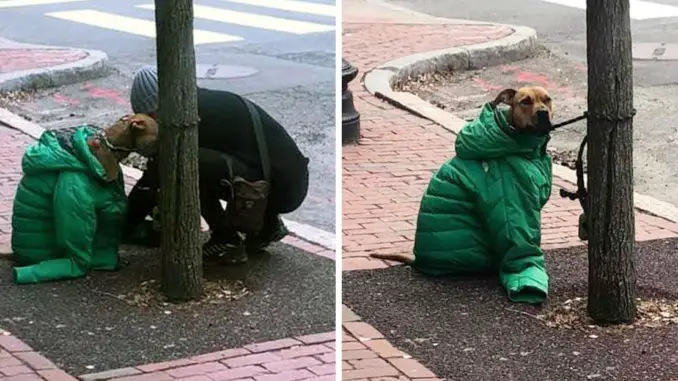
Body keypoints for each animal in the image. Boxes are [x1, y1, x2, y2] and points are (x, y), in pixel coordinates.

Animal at [374, 85, 556, 302]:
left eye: (547, 99)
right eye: (525, 101)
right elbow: (520, 240)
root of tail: (419, 260)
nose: (543, 113)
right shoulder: (514, 197)